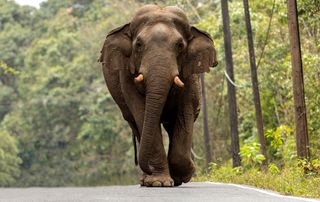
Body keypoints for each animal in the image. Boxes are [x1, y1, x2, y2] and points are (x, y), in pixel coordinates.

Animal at [99, 4, 216, 187]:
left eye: (180, 45)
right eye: (139, 44)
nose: (148, 170)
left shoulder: (190, 75)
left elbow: (185, 111)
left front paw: (184, 175)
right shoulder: (126, 74)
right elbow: (140, 110)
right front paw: (158, 183)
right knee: (137, 126)